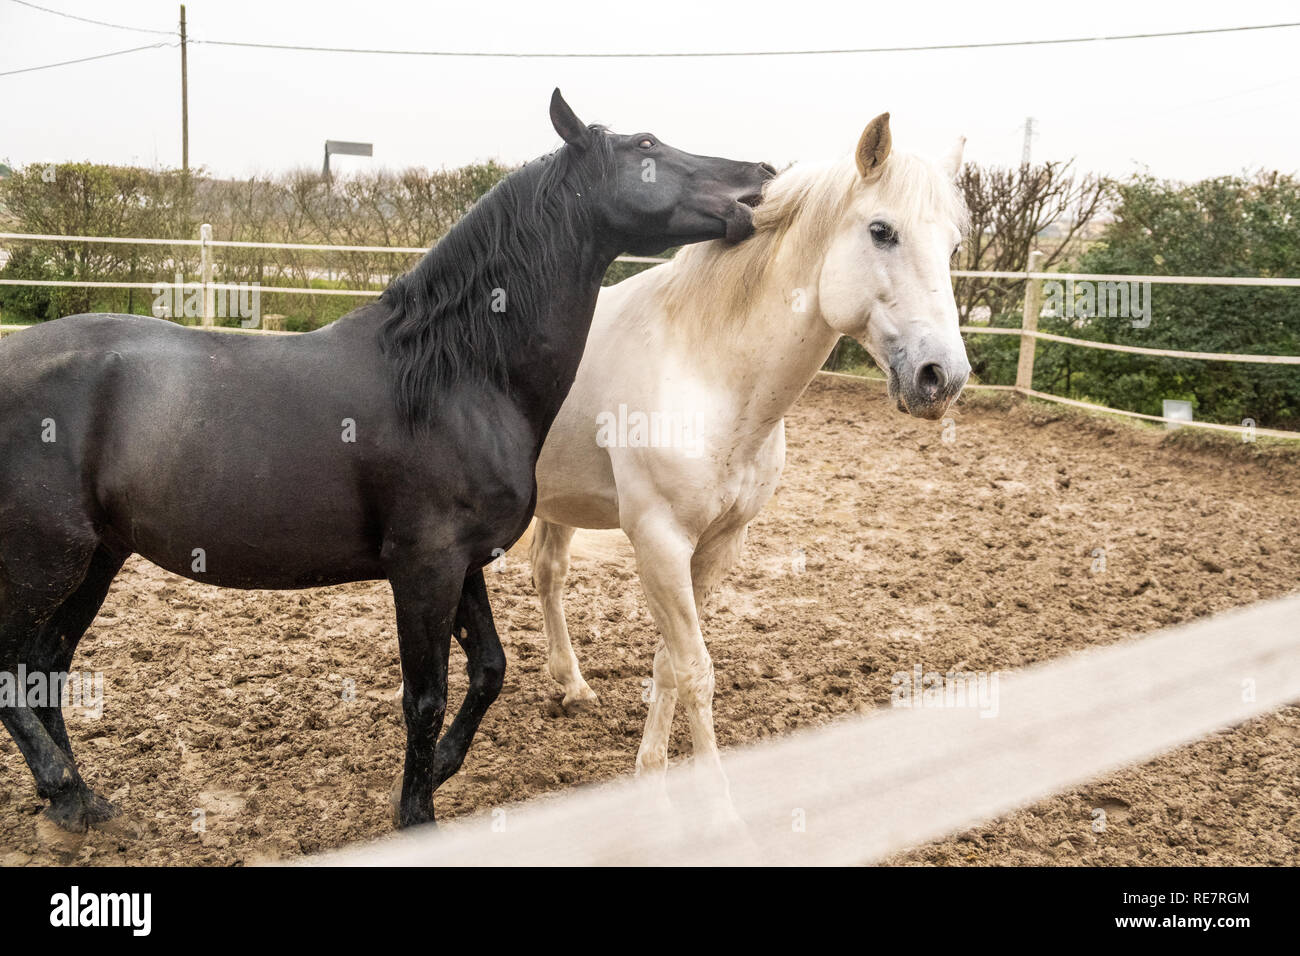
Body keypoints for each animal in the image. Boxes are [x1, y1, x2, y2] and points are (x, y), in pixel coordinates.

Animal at [0, 89, 774, 832]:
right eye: (645, 144)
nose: (761, 173)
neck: (458, 375)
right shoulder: (424, 567)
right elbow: (424, 696)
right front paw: (416, 814)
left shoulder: (466, 561)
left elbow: (489, 670)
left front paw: (444, 769)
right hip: (43, 562)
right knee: (14, 670)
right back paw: (65, 791)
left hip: (96, 560)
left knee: (45, 667)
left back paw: (77, 803)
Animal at [529, 113, 969, 813]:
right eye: (882, 230)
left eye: (954, 247)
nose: (942, 377)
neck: (704, 363)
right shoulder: (658, 543)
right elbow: (696, 671)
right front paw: (717, 811)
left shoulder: (717, 545)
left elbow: (669, 664)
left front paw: (651, 773)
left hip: (558, 499)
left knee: (548, 574)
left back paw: (571, 686)